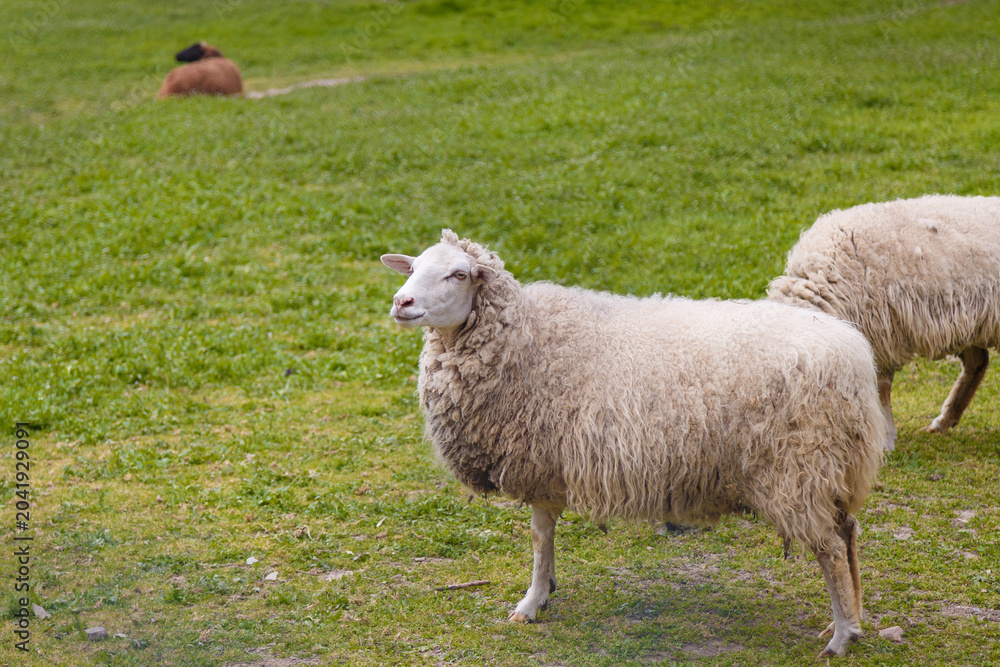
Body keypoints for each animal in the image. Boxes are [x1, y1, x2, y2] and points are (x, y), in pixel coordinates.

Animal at [381, 230, 889, 658]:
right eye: (413, 267)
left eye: (459, 274)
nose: (401, 302)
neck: (527, 338)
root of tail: (854, 357)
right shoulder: (547, 465)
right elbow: (543, 537)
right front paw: (542, 594)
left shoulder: (541, 461)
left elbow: (539, 537)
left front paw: (530, 602)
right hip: (831, 469)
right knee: (848, 534)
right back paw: (848, 619)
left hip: (797, 469)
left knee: (829, 549)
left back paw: (842, 636)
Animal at [767, 195, 1000, 448]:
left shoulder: (881, 337)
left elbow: (882, 389)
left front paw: (885, 439)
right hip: (967, 325)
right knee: (978, 362)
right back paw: (945, 421)